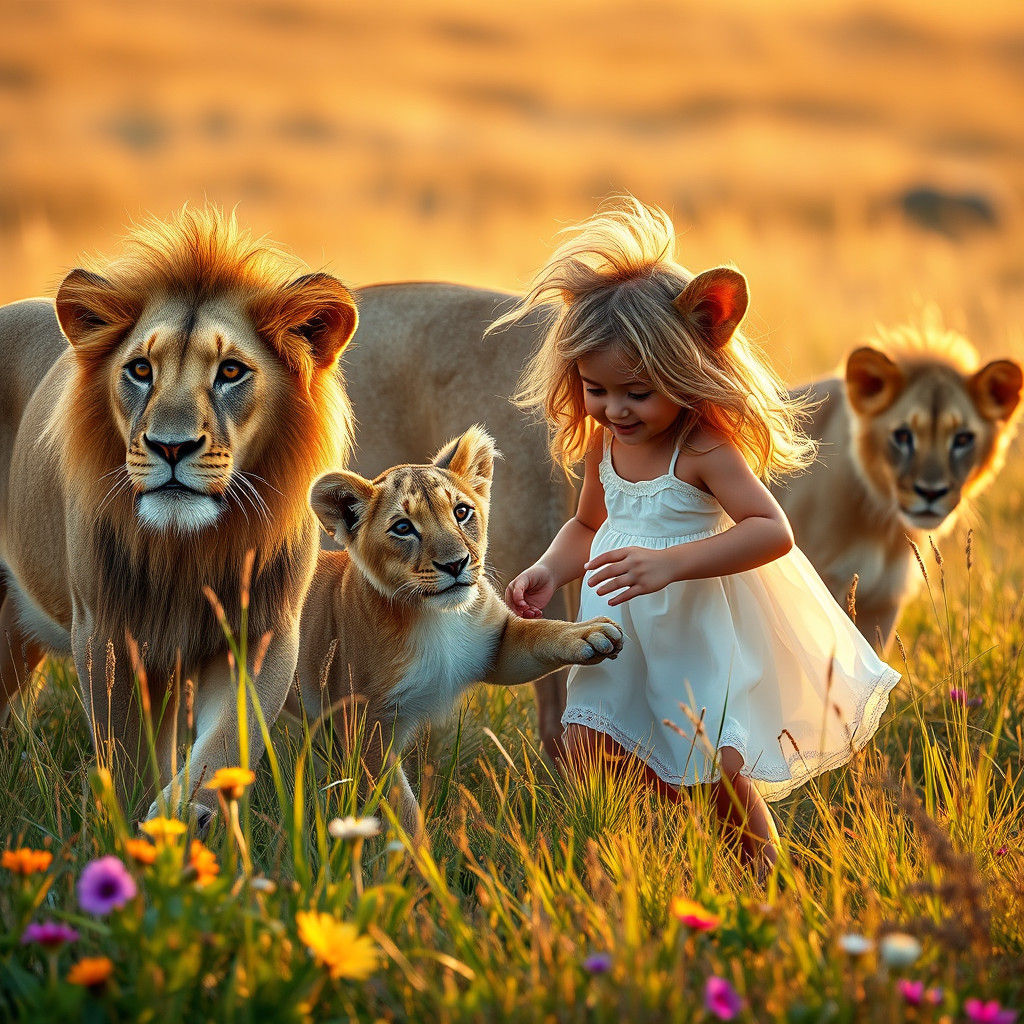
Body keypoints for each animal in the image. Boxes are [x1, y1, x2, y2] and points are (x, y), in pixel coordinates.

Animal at [0, 209, 358, 827]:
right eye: (141, 369)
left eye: (232, 371)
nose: (170, 446)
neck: (187, 548)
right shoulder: (106, 633)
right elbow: (123, 758)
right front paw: (131, 830)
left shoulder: (260, 632)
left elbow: (227, 739)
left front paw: (184, 811)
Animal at [295, 425, 623, 835]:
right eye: (403, 528)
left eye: (461, 511)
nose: (455, 564)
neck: (436, 617)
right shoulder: (365, 725)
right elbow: (398, 805)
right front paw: (419, 851)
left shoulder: (497, 647)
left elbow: (541, 633)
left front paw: (589, 633)